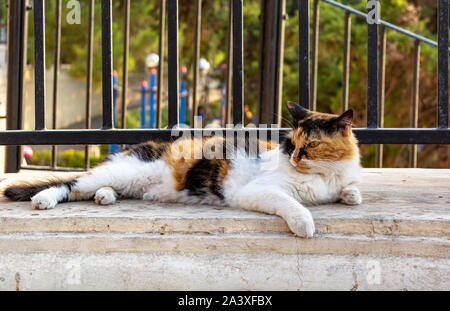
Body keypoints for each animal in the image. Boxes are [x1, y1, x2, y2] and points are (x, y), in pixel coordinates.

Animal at [2, 101, 362, 238]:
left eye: (310, 145)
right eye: (291, 143)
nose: (294, 158)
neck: (323, 175)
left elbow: (350, 190)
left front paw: (351, 195)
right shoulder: (259, 190)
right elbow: (292, 204)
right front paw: (305, 223)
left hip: (126, 180)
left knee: (90, 189)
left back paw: (105, 198)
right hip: (122, 172)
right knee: (72, 184)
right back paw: (45, 200)